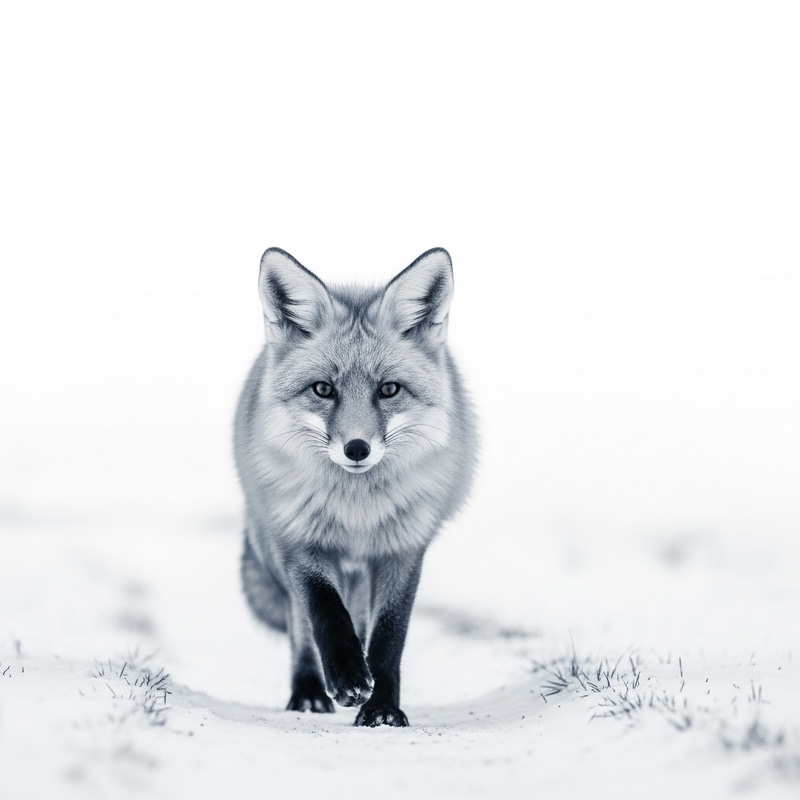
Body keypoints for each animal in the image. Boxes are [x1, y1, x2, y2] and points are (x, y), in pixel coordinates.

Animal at [234, 247, 477, 727]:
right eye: (323, 389)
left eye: (389, 390)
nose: (357, 448)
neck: (357, 513)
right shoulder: (299, 541)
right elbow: (324, 613)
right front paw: (346, 677)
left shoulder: (403, 548)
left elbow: (389, 634)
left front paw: (382, 706)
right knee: (301, 624)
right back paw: (310, 690)